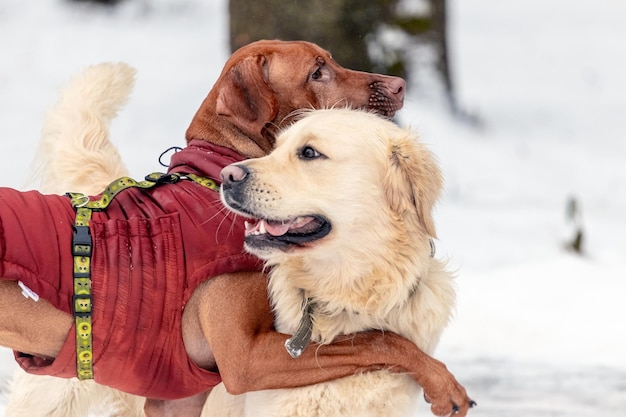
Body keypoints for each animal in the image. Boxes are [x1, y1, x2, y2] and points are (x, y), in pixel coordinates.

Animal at [0, 39, 468, 416]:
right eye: (317, 71)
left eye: (331, 60)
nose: (399, 85)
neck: (213, 165)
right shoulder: (247, 358)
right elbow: (378, 341)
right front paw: (442, 381)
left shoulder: (177, 394)